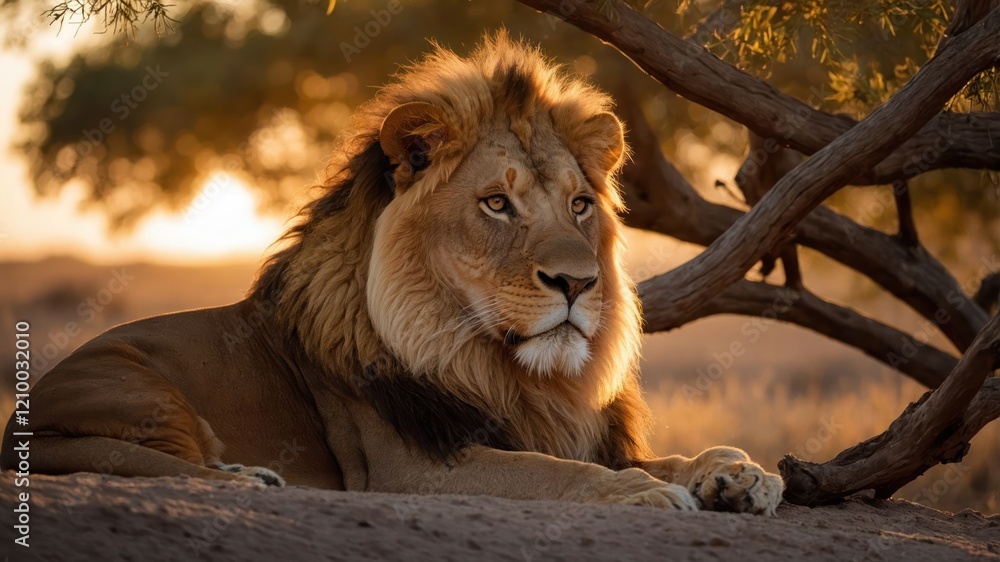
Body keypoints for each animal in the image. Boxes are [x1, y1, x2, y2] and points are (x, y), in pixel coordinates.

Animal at [1, 33, 783, 515]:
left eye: (580, 205)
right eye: (496, 204)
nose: (578, 285)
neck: (502, 369)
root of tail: (22, 421)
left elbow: (658, 457)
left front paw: (738, 472)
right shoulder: (411, 470)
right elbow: (559, 473)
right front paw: (640, 494)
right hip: (138, 384)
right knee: (159, 464)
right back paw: (255, 478)